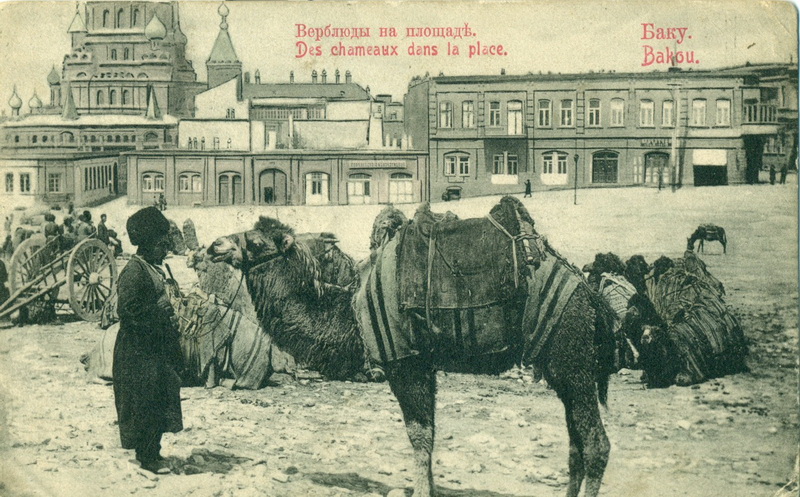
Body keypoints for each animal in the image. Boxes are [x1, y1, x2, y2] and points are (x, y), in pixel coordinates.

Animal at [208, 196, 620, 494]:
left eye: (256, 241)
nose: (215, 245)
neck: (351, 312)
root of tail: (590, 295)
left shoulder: (405, 360)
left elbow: (419, 436)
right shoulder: (423, 362)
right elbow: (428, 435)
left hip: (571, 351)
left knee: (596, 444)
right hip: (560, 363)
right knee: (576, 445)